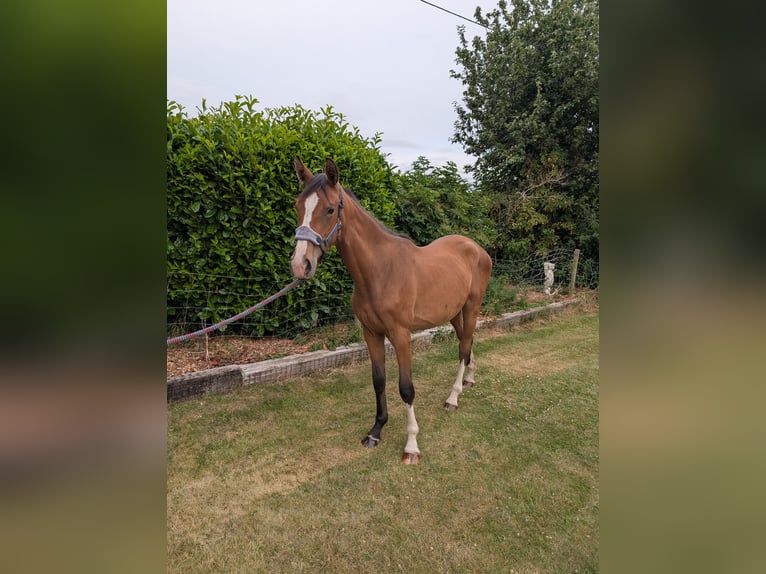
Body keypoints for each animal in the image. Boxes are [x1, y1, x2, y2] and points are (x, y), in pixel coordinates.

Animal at [290, 157, 493, 464]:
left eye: (329, 209)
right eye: (298, 206)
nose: (300, 266)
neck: (381, 271)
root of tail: (477, 248)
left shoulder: (400, 335)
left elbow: (406, 388)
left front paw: (411, 446)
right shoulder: (371, 334)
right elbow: (379, 381)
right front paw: (375, 431)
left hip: (471, 307)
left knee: (462, 349)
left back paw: (453, 398)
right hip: (454, 313)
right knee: (467, 344)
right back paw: (469, 380)